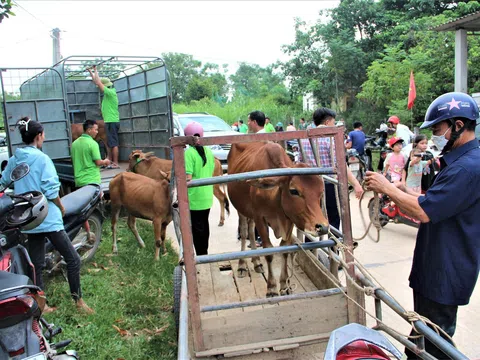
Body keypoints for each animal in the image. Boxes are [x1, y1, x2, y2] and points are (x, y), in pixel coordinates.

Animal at [227, 142, 328, 296]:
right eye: (294, 191)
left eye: (320, 193)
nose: (322, 227)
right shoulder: (260, 218)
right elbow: (268, 251)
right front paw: (272, 287)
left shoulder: (289, 221)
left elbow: (285, 250)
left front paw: (284, 285)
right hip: (241, 209)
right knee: (244, 232)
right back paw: (242, 265)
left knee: (251, 232)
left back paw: (256, 262)